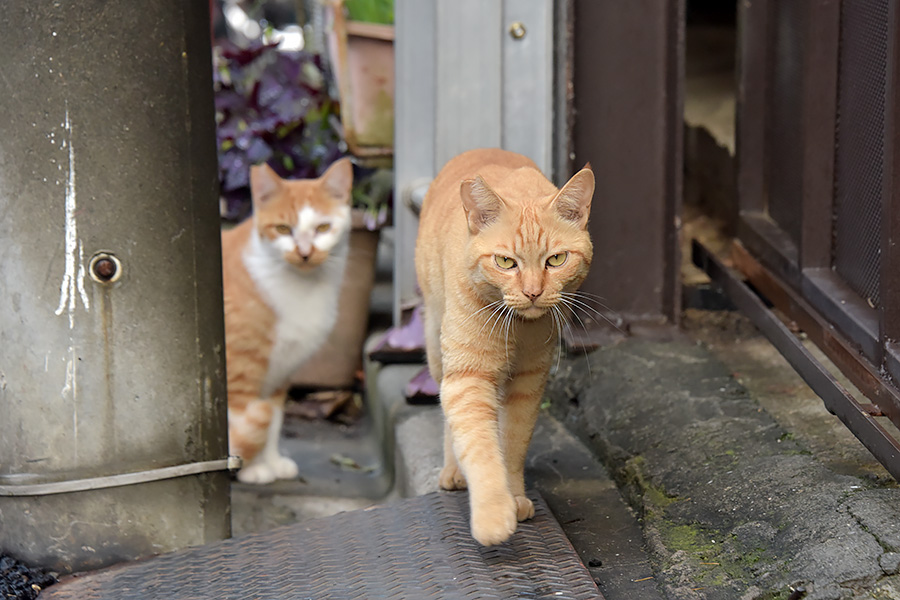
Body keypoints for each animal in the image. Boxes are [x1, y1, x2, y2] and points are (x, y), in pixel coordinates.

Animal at [221, 158, 352, 482]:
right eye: (282, 229)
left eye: (322, 227)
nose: (304, 253)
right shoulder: (237, 376)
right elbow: (245, 420)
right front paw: (251, 467)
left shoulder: (281, 373)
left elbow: (274, 422)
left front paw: (271, 461)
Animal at [414, 149, 592, 544]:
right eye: (506, 262)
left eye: (556, 260)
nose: (532, 292)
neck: (517, 330)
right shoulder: (468, 376)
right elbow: (480, 448)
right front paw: (494, 512)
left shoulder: (529, 381)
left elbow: (511, 443)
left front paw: (514, 496)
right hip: (437, 348)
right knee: (449, 418)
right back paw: (453, 471)